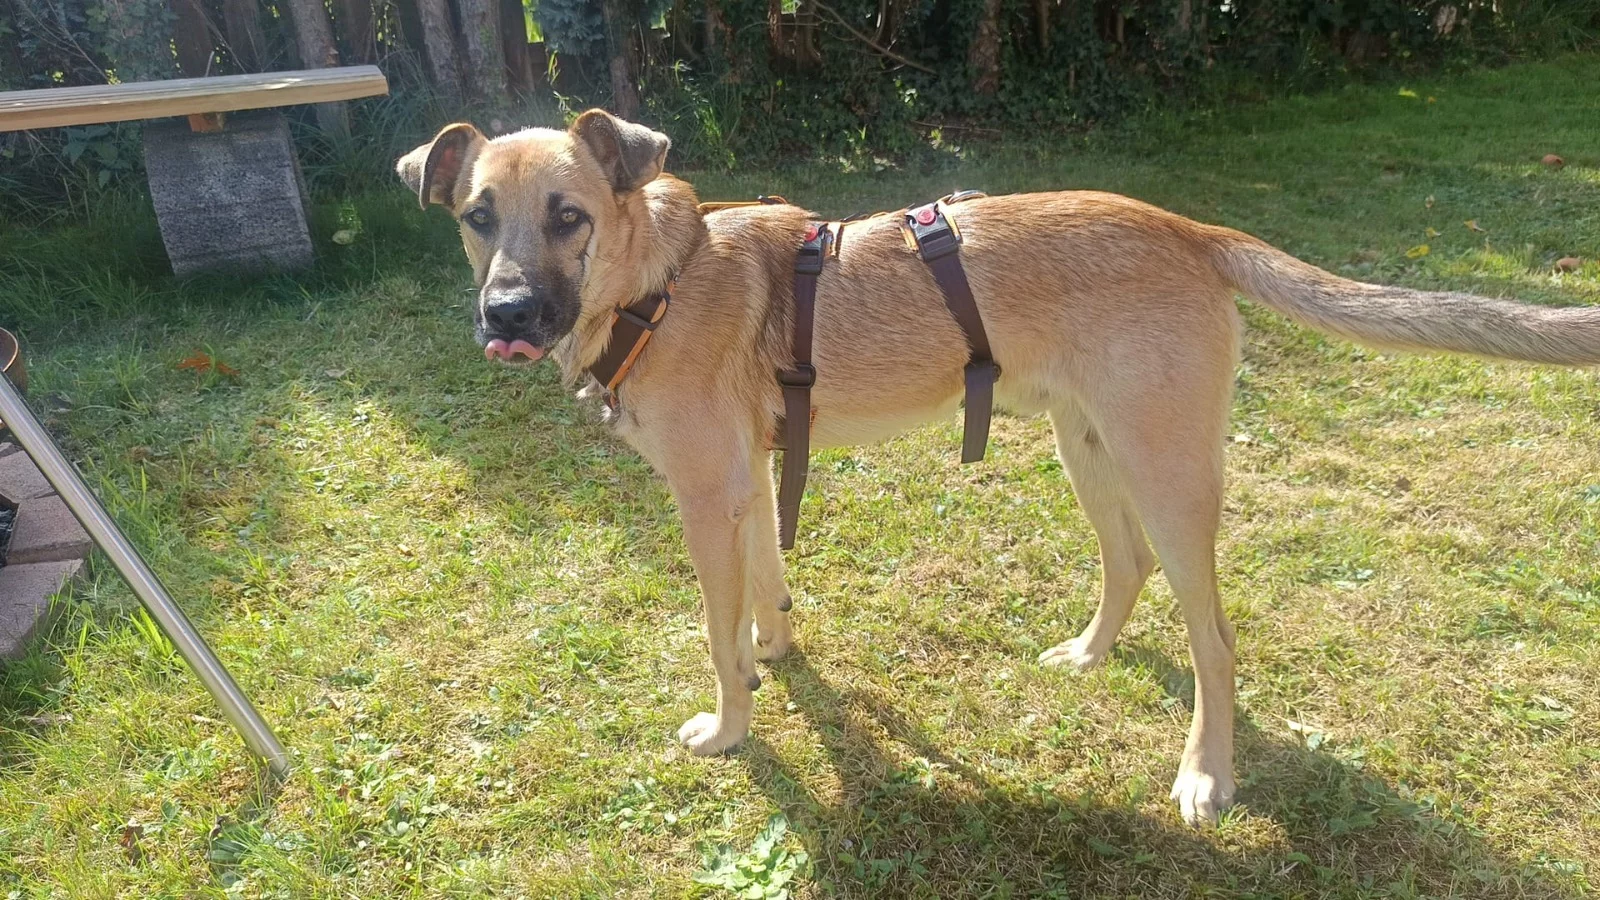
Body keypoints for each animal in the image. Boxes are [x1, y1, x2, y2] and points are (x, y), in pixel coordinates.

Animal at [397, 109, 1600, 825]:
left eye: (569, 215)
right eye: (477, 217)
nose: (506, 317)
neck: (662, 276)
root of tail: (1184, 225)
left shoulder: (703, 497)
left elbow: (715, 636)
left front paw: (731, 729)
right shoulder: (749, 482)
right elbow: (766, 597)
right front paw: (778, 657)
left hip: (1169, 474)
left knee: (1214, 639)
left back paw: (1205, 773)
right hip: (1090, 449)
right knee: (1127, 568)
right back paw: (1087, 655)